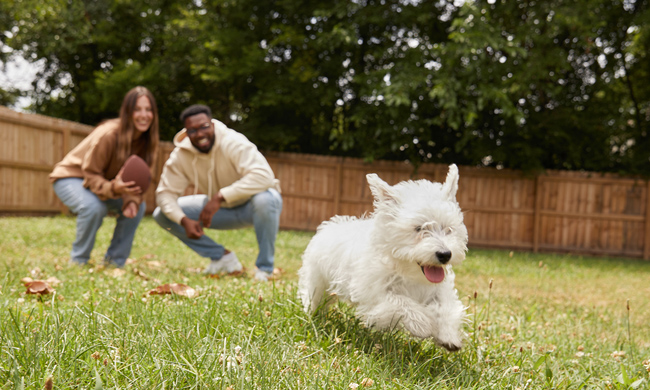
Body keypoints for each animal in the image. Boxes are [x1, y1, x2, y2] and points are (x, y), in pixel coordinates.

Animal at [298, 163, 466, 352]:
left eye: (448, 229)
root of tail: (329, 226)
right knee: (313, 299)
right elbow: (400, 302)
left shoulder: (438, 288)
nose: (445, 254)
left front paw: (448, 335)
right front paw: (422, 324)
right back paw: (313, 318)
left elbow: (445, 305)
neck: (407, 271)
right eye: (419, 228)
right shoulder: (374, 292)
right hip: (317, 281)